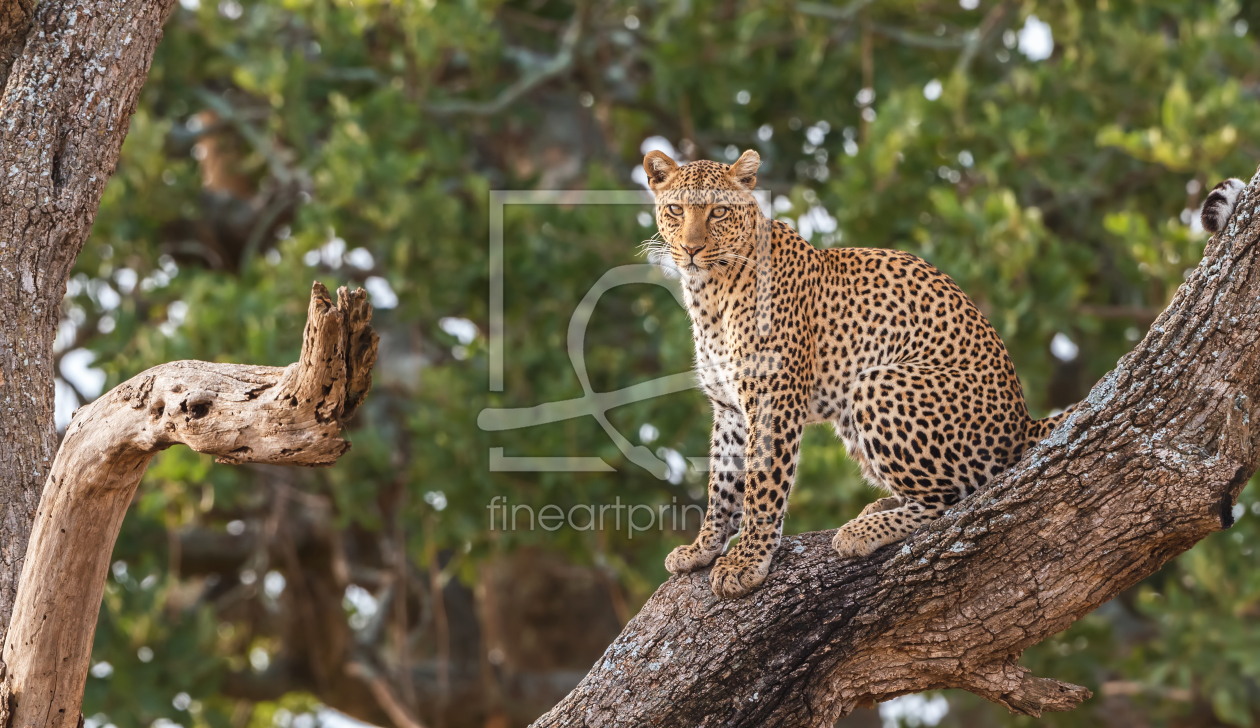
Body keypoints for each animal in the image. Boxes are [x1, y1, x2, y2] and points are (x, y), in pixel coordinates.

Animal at [645, 147, 1078, 594]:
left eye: (718, 212)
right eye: (676, 209)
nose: (691, 248)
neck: (709, 295)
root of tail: (1023, 421)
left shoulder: (773, 399)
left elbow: (763, 483)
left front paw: (747, 560)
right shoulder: (729, 408)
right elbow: (723, 482)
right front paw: (703, 548)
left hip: (875, 382)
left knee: (951, 499)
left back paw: (863, 530)